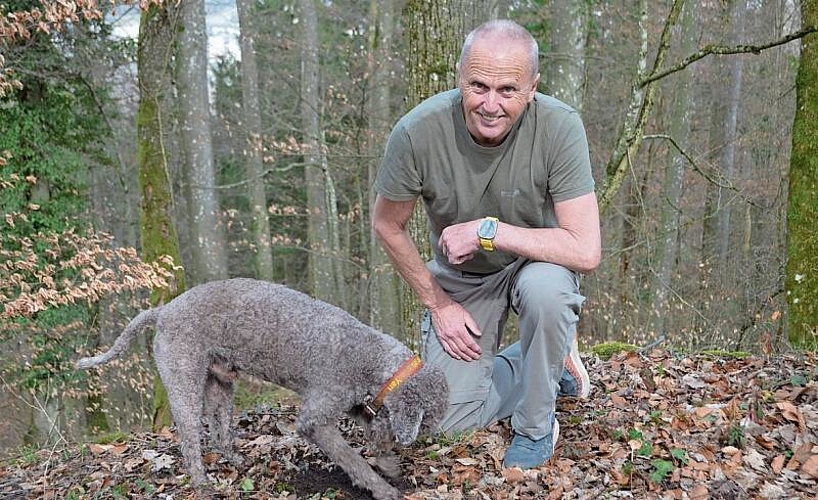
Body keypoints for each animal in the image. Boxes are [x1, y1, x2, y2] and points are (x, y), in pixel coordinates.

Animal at [75, 278, 446, 500]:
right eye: (428, 421)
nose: (429, 437)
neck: (371, 358)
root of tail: (163, 310)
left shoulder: (360, 405)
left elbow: (376, 434)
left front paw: (389, 466)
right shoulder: (315, 418)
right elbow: (351, 458)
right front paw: (382, 487)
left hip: (221, 384)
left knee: (220, 431)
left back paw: (235, 460)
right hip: (184, 382)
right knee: (191, 440)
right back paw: (202, 484)